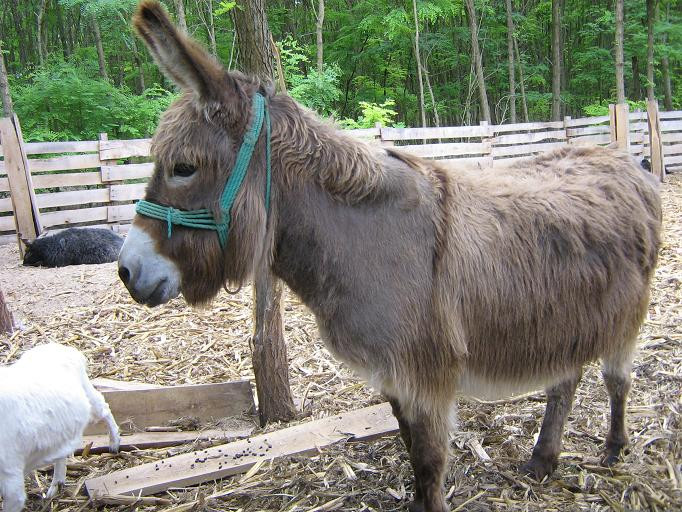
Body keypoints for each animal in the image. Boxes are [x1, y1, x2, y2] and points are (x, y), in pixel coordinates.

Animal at [0, 344, 119, 512]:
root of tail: (64, 348)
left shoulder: (10, 476)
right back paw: (56, 485)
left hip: (89, 394)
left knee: (104, 408)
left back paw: (114, 444)